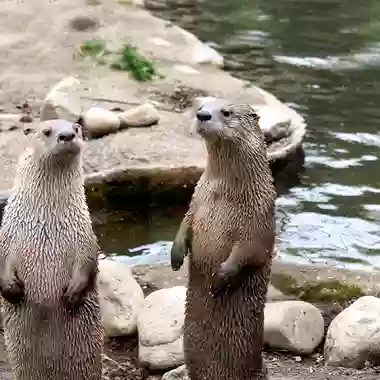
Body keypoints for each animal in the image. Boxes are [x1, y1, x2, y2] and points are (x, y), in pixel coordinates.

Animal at [0, 120, 103, 380]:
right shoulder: (8, 232)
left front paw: (74, 292)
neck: (46, 223)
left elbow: (88, 261)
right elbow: (1, 258)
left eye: (76, 128)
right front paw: (10, 288)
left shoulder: (83, 233)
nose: (66, 135)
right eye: (47, 131)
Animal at [171, 98, 276, 380]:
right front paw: (176, 255)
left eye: (226, 112)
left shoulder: (258, 218)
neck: (222, 192)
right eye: (201, 106)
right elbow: (184, 224)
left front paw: (220, 279)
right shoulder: (196, 201)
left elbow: (251, 251)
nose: (203, 115)